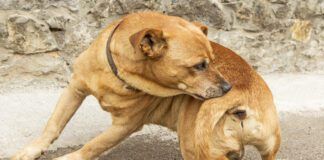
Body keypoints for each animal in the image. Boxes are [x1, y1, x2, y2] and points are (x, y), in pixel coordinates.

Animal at [12, 11, 280, 159]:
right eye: (200, 65)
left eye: (212, 61)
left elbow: (92, 146)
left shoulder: (124, 126)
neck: (117, 73)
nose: (226, 88)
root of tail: (242, 103)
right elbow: (52, 126)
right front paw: (31, 151)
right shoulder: (75, 88)